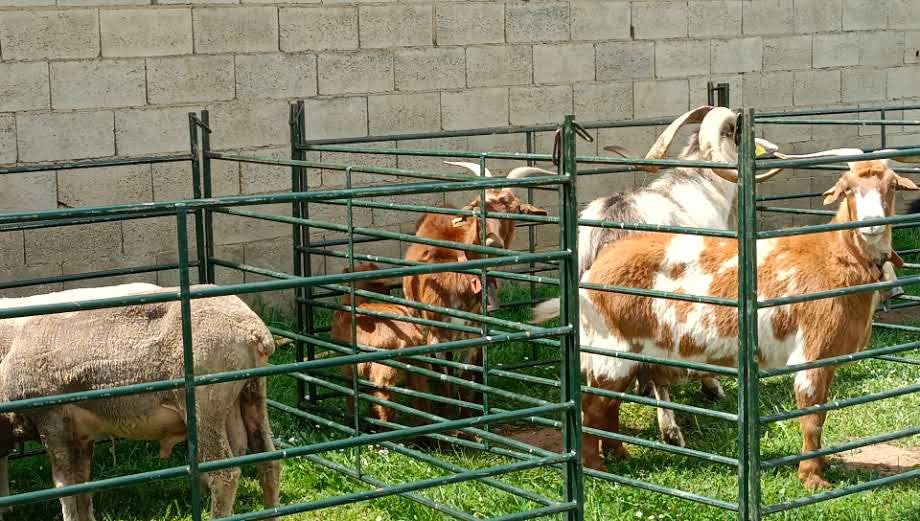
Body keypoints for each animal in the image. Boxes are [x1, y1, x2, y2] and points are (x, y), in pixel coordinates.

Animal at [0, 284, 280, 520]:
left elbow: (64, 486)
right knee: (268, 461)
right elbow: (82, 483)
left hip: (206, 404)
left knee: (224, 475)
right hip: (249, 393)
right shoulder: (81, 434)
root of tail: (255, 331)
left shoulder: (51, 418)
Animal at [330, 262, 432, 424]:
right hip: (417, 366)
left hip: (384, 371)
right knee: (421, 398)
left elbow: (350, 390)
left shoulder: (347, 363)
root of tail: (412, 333)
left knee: (386, 405)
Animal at [580, 152, 916, 490]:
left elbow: (821, 414)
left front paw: (820, 466)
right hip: (611, 348)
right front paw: (812, 478)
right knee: (592, 407)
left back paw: (619, 454)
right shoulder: (811, 352)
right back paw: (595, 465)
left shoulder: (829, 359)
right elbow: (811, 419)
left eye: (892, 186)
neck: (835, 256)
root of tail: (597, 266)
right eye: (848, 189)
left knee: (608, 405)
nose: (872, 224)